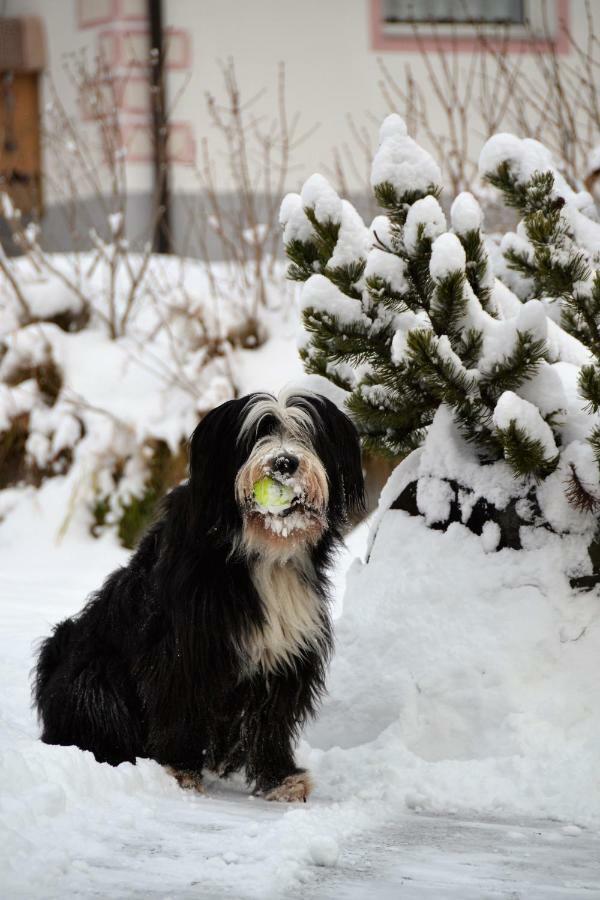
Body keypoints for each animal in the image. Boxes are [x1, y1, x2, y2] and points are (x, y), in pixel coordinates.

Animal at [34, 390, 366, 800]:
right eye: (258, 433)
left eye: (305, 434)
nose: (285, 462)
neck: (262, 552)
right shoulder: (184, 649)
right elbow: (179, 705)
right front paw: (180, 770)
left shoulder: (285, 651)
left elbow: (271, 721)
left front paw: (281, 779)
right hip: (93, 675)